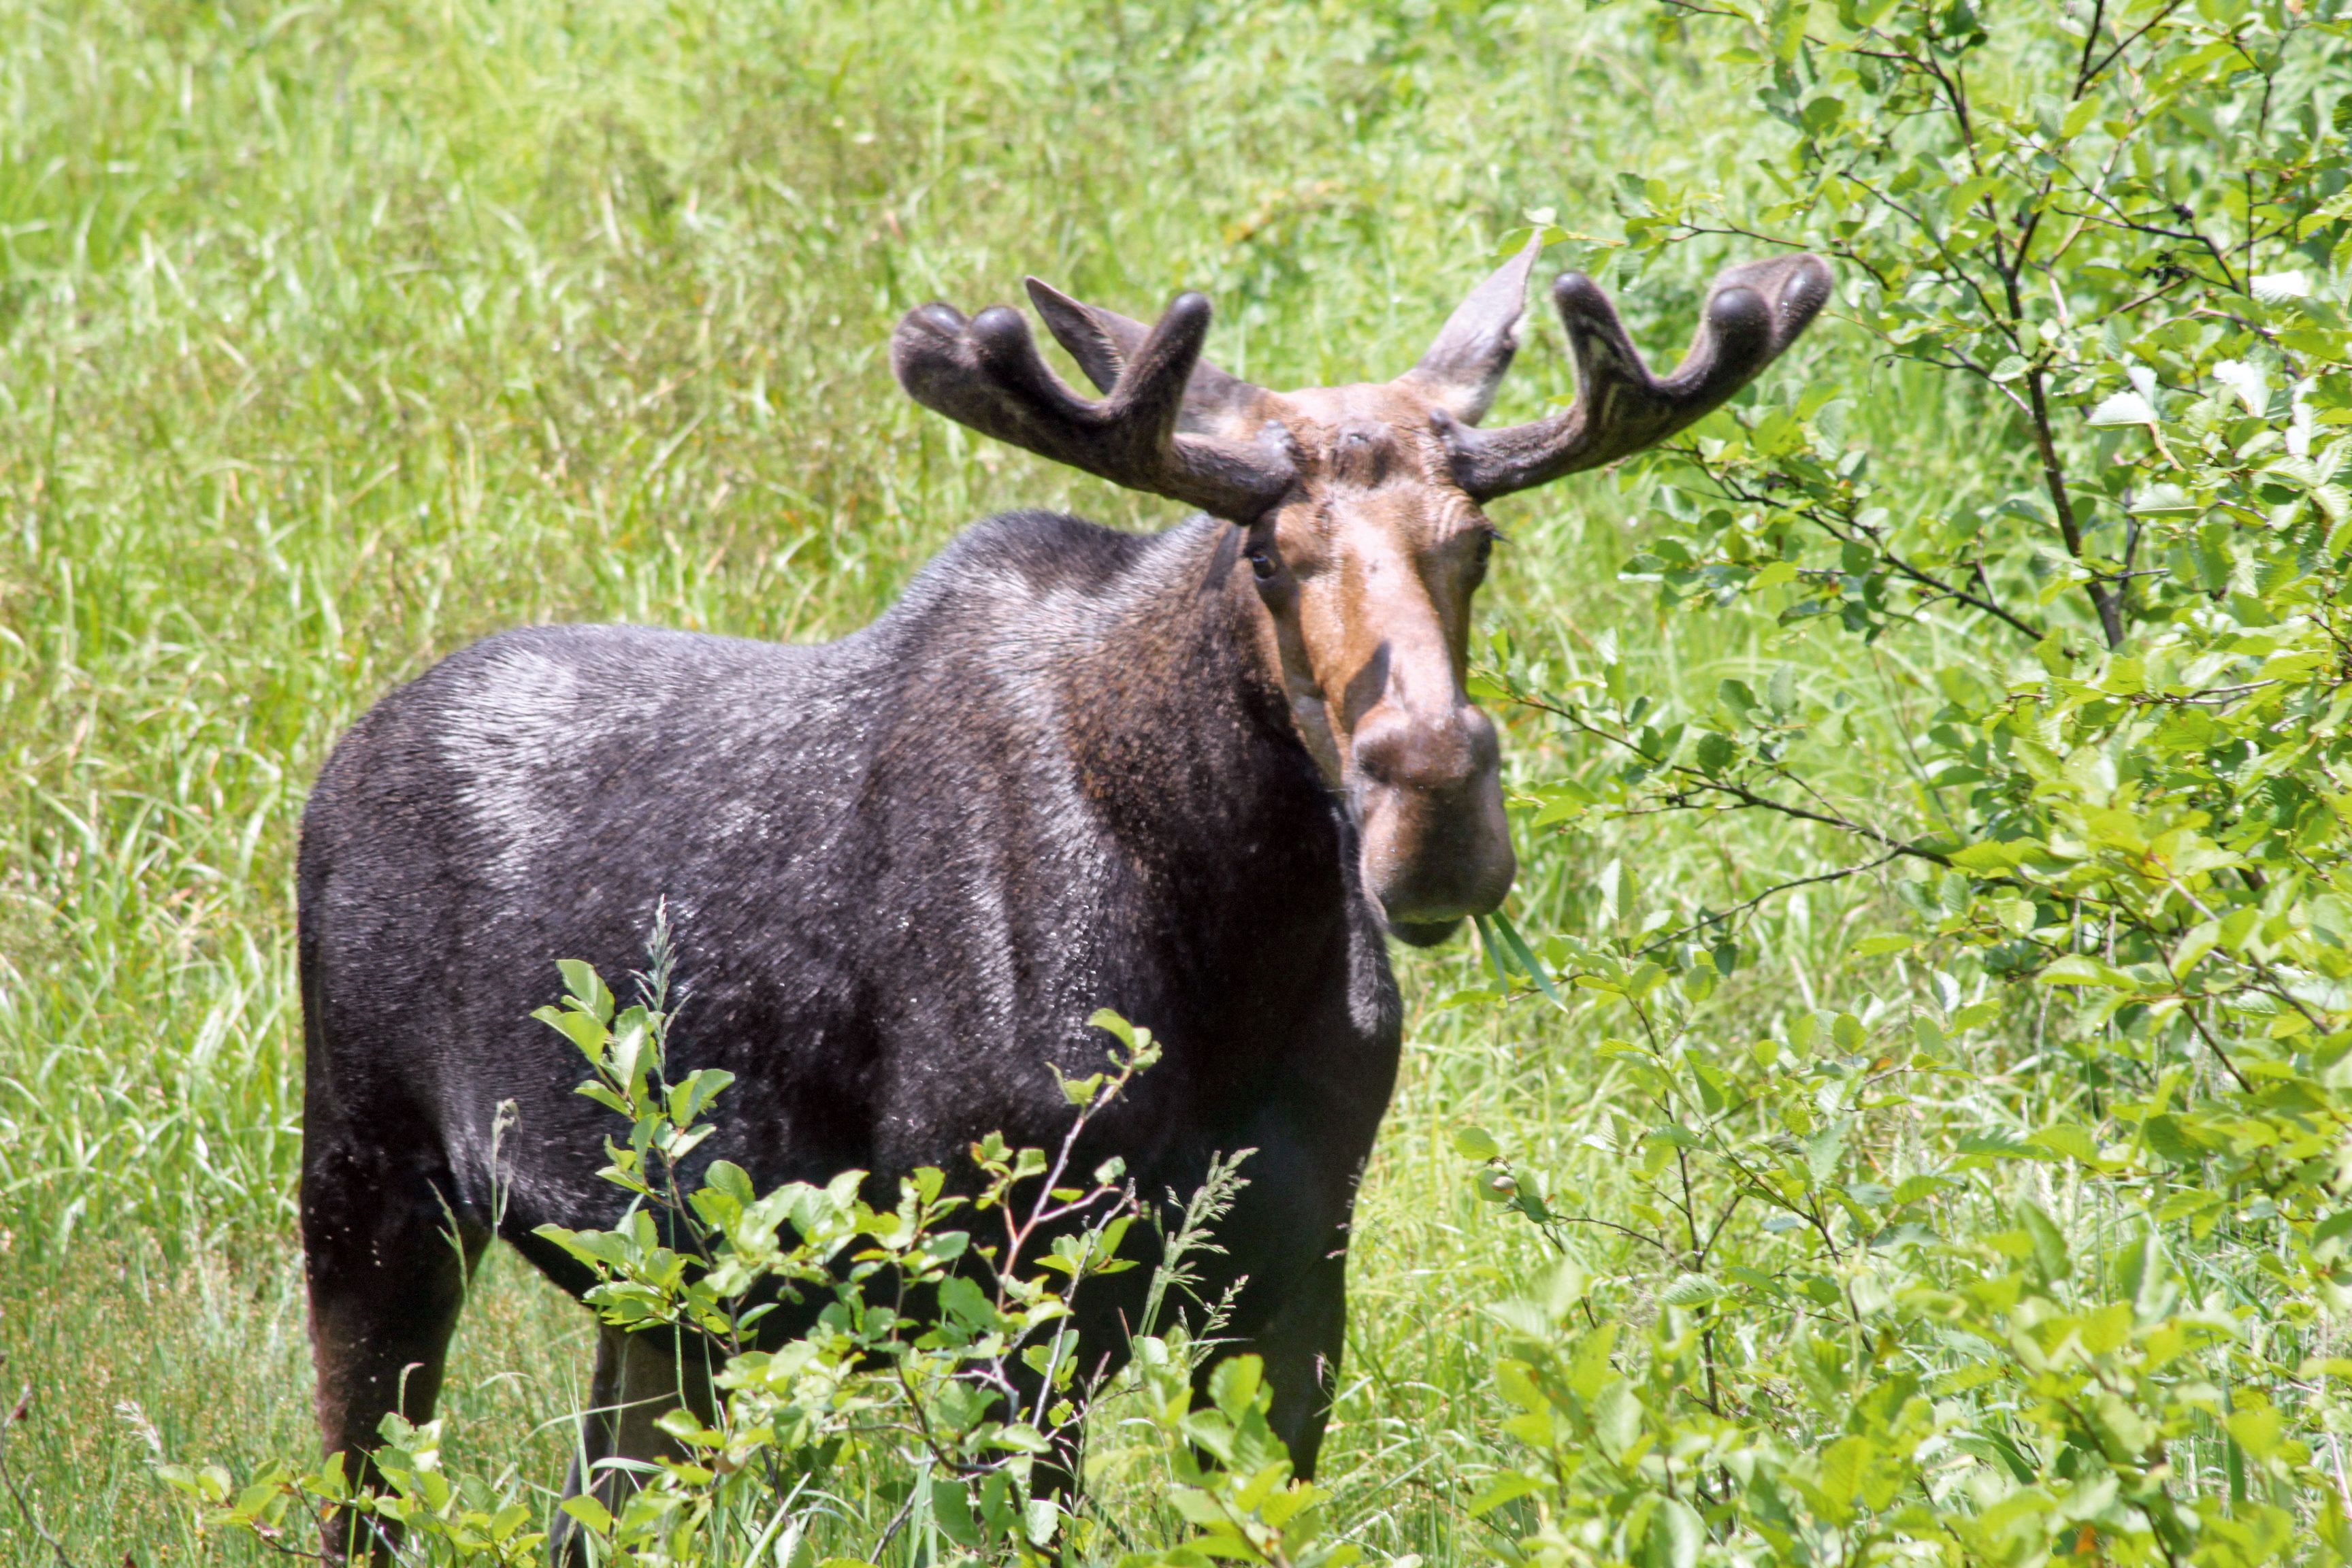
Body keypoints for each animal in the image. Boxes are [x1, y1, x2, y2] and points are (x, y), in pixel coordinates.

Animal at [298, 232, 1834, 1542]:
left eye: (1480, 540)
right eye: (1268, 553)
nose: (1435, 804)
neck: (1237, 937)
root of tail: (343, 759)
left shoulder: (1294, 1282)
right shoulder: (1012, 1287)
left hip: (659, 1302)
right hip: (370, 1190)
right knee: (359, 1503)